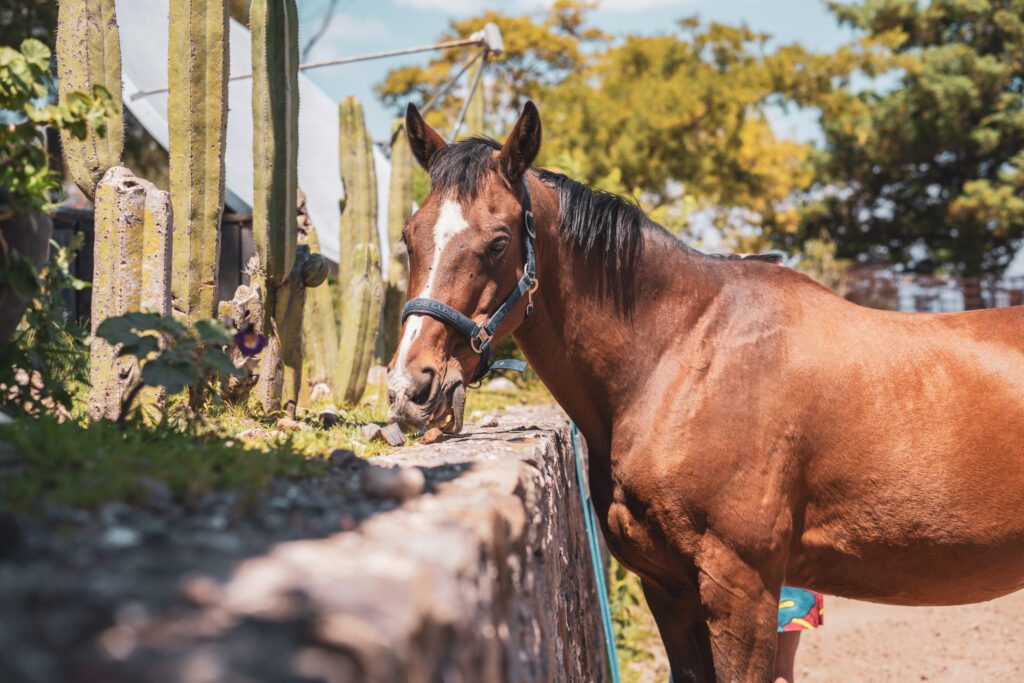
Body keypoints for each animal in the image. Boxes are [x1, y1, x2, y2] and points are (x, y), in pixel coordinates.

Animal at [385, 102, 1024, 683]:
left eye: (497, 242)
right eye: (409, 238)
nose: (409, 386)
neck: (685, 357)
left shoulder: (743, 587)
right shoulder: (668, 589)